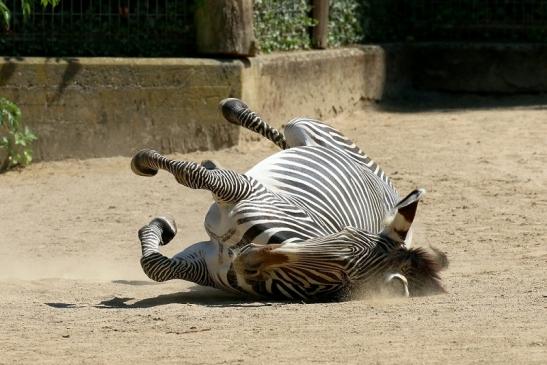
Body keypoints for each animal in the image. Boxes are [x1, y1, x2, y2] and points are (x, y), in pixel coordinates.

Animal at [133, 98, 450, 300]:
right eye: (342, 233)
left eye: (339, 274)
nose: (244, 256)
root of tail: (391, 192)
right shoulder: (245, 190)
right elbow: (190, 176)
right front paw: (148, 169)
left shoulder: (207, 258)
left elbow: (156, 266)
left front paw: (157, 215)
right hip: (303, 129)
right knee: (285, 137)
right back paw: (232, 110)